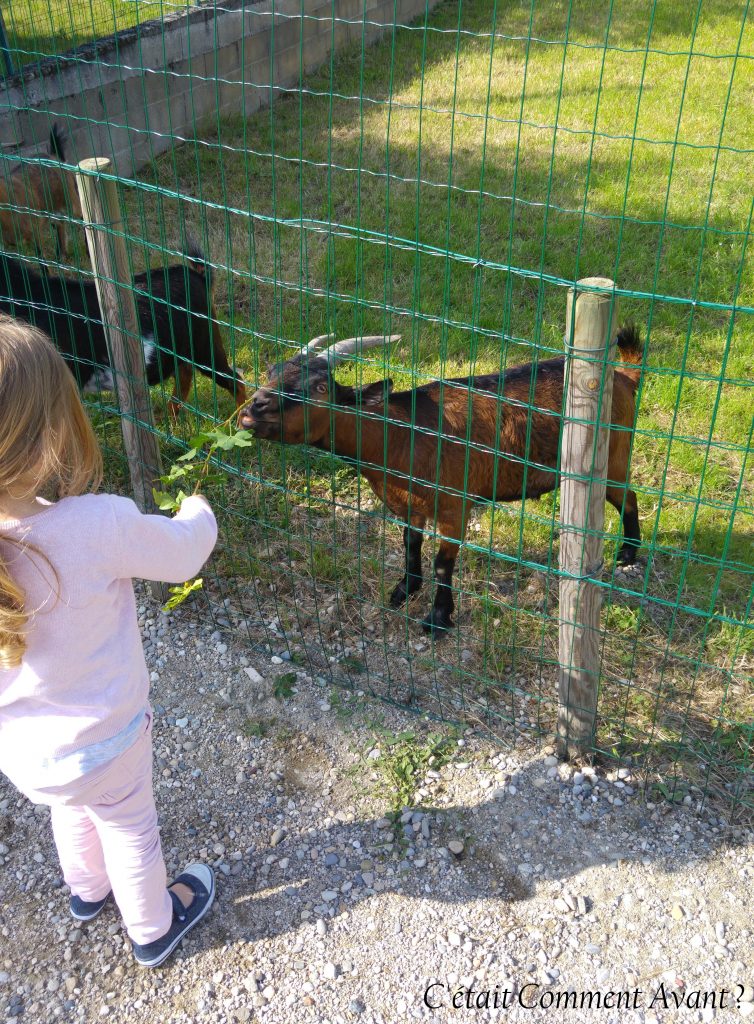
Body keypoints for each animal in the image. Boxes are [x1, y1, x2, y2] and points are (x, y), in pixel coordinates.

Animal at [241, 327, 643, 630]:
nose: (251, 410)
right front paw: (404, 590)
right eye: (272, 371)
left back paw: (627, 554)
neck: (401, 436)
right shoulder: (409, 506)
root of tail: (624, 378)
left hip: (611, 460)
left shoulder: (454, 509)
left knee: (629, 497)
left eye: (322, 388)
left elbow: (442, 563)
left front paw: (438, 617)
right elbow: (410, 545)